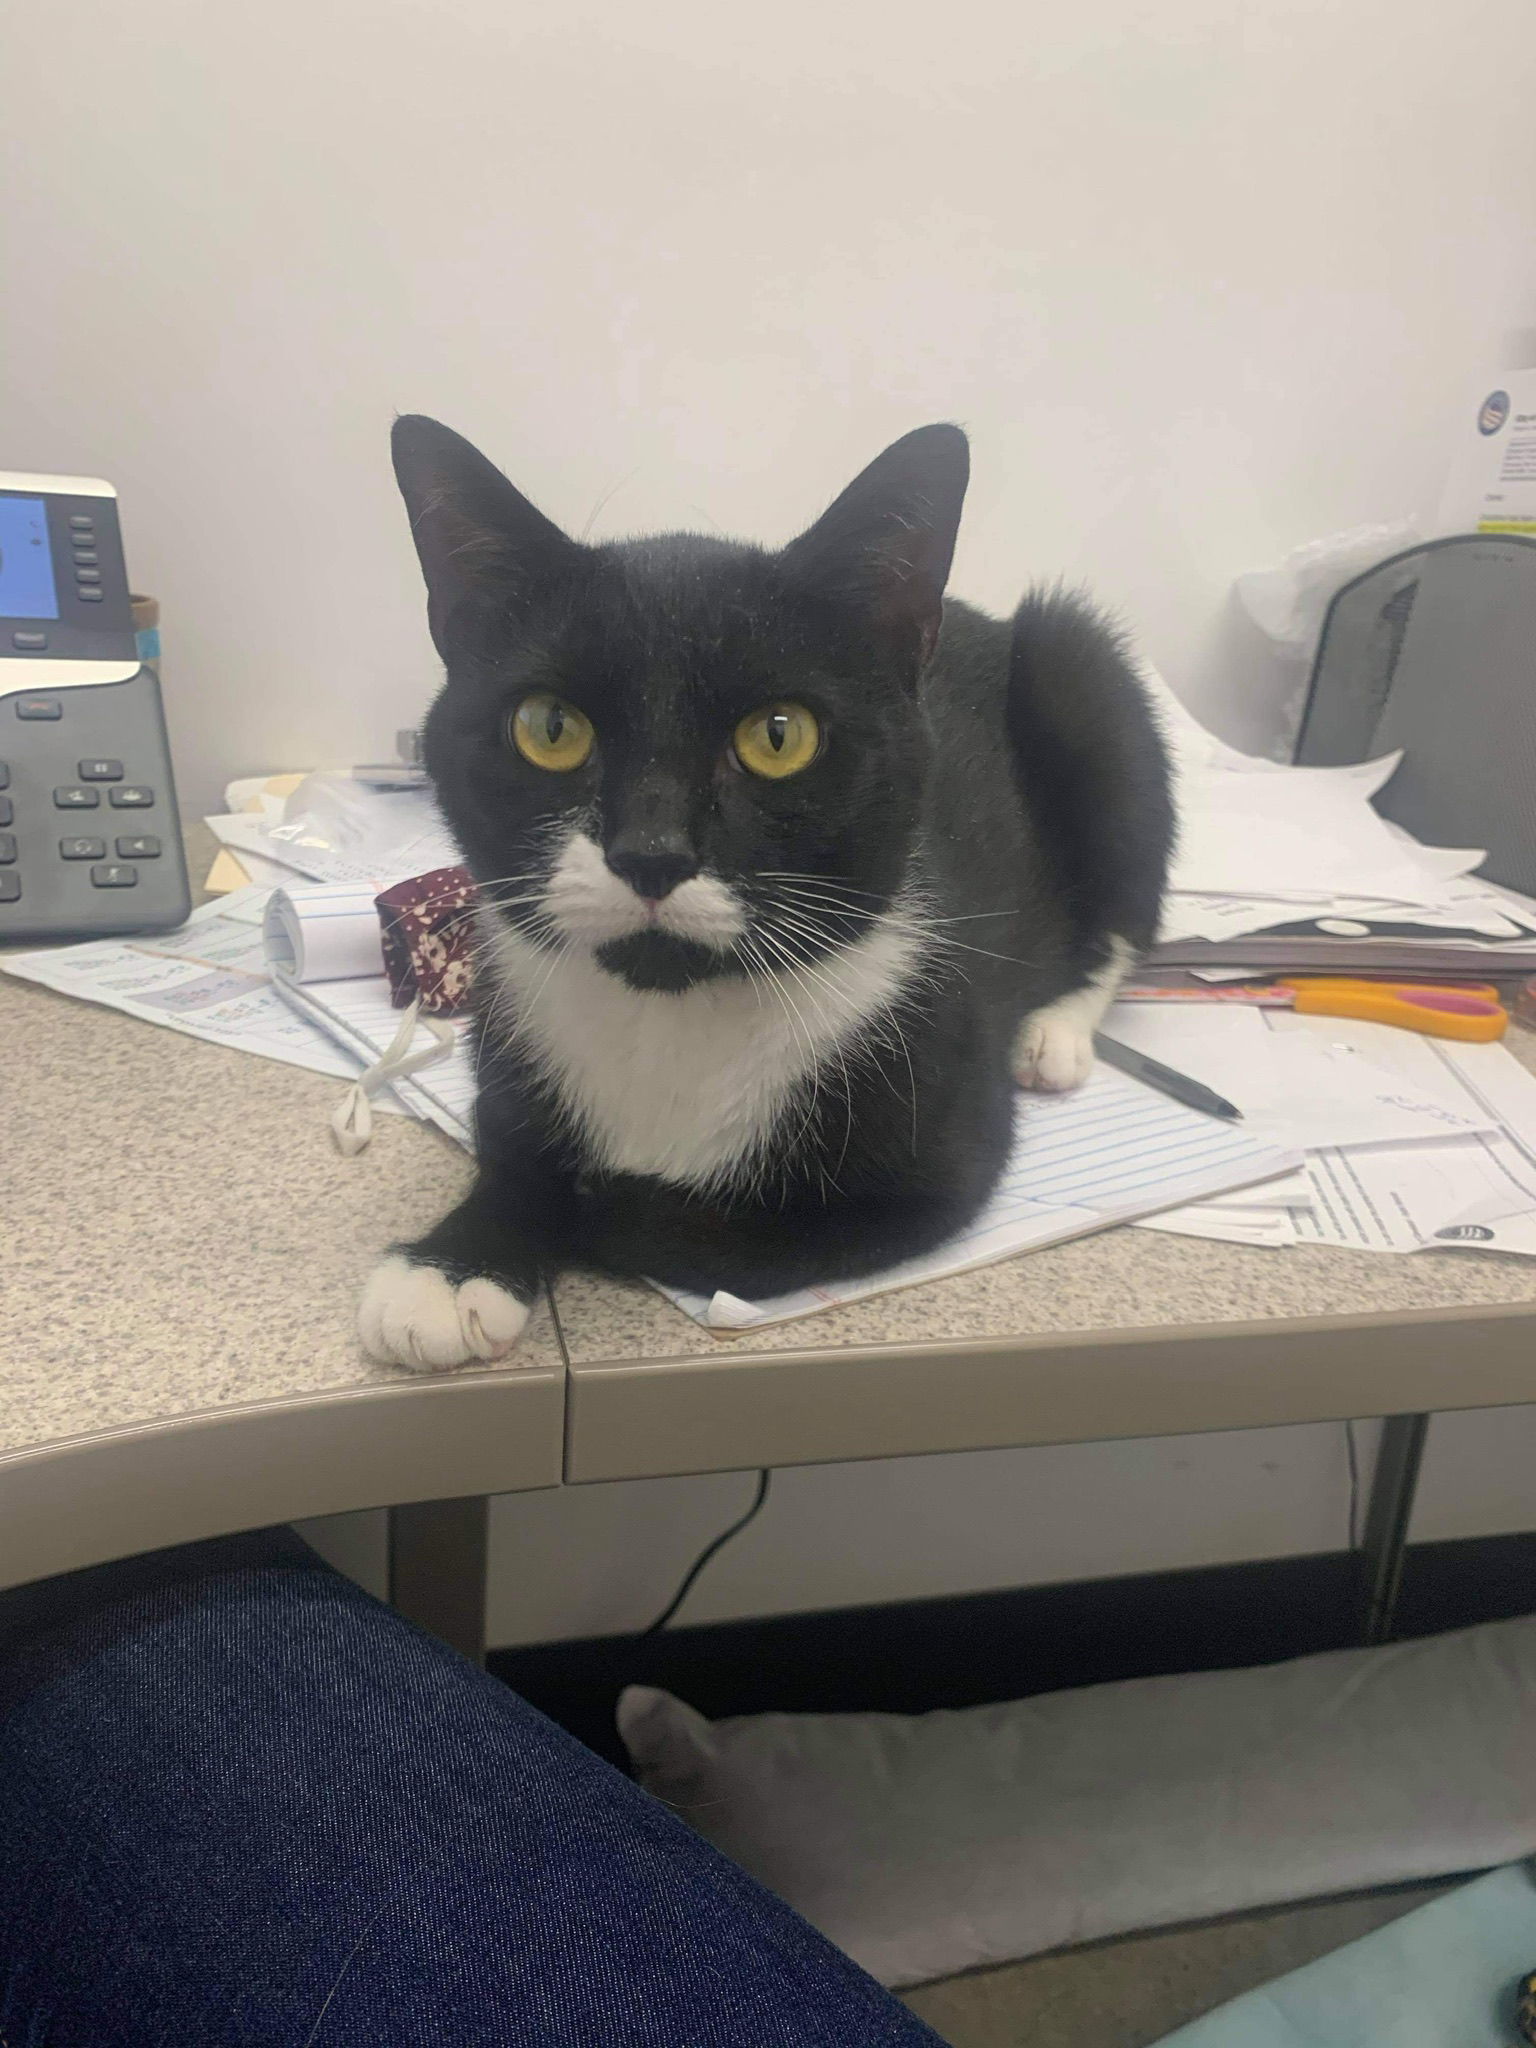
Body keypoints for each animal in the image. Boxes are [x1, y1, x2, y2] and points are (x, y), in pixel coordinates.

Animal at [360, 417, 1171, 1368]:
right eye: (549, 727)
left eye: (779, 736)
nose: (651, 851)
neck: (672, 1016)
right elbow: (512, 1149)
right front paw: (453, 1264)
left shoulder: (932, 1166)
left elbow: (720, 1231)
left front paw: (593, 1200)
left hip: (1083, 680)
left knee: (1125, 898)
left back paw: (1054, 1034)